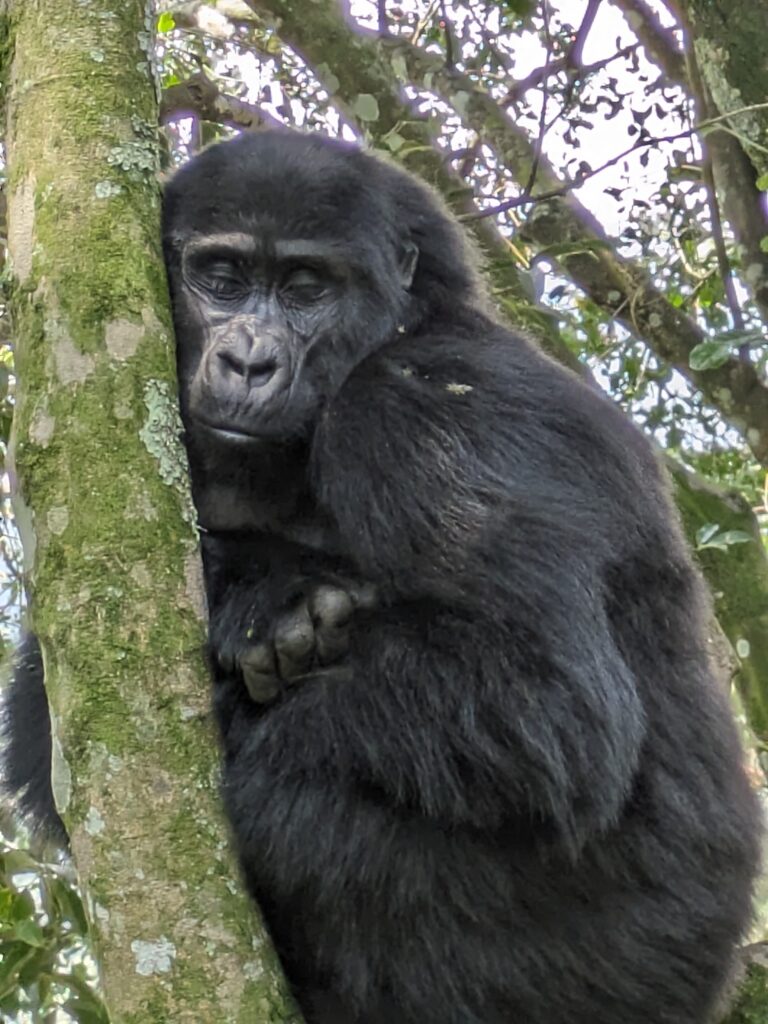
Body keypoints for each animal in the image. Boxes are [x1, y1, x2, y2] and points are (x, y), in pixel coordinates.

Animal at [4, 132, 765, 1024]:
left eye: (307, 289)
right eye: (221, 278)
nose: (249, 360)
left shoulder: (423, 416)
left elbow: (545, 704)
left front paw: (270, 614)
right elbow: (47, 712)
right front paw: (269, 597)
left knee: (290, 809)